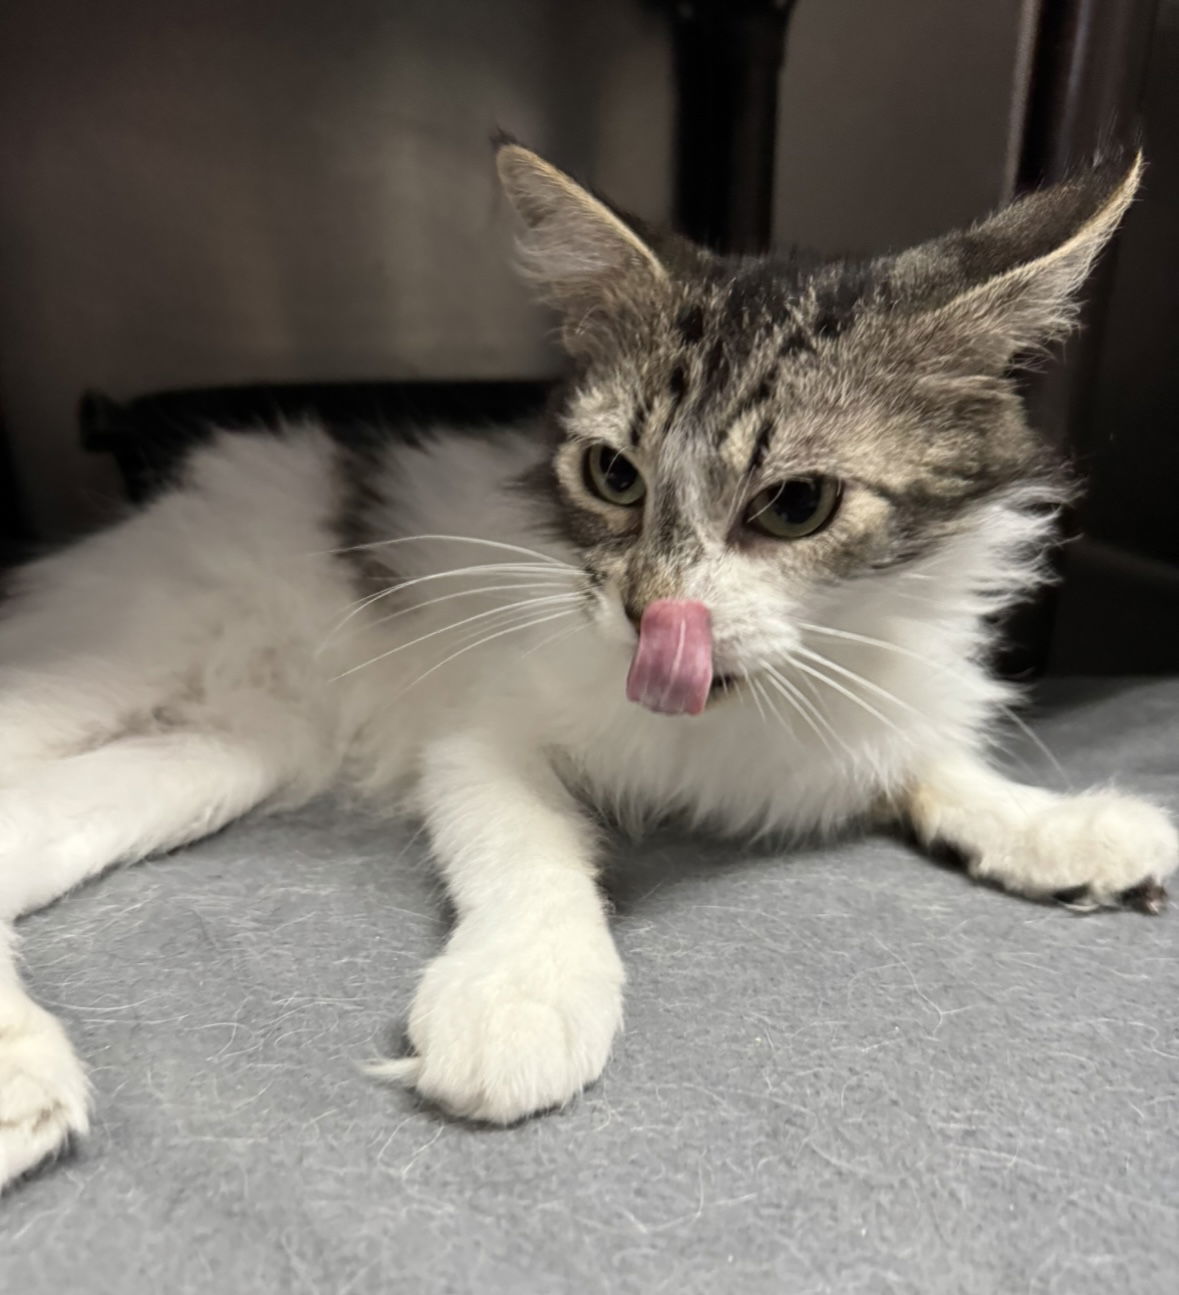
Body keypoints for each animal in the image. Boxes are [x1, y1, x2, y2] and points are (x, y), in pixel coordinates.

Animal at [2, 144, 1179, 1191]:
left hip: (223, 750)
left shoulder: (866, 708)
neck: (742, 713)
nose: (645, 611)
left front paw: (1056, 826)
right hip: (117, 664)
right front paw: (520, 995)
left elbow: (935, 763)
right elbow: (532, 848)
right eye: (612, 475)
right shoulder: (478, 733)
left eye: (796, 503)